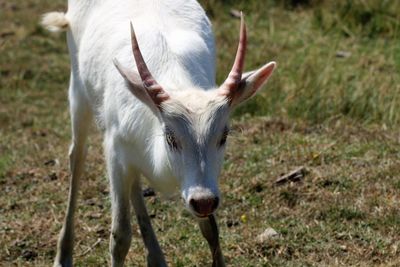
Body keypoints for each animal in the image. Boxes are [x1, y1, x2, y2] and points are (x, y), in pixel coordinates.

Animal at [43, 1, 276, 266]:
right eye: (171, 137)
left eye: (223, 136)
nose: (203, 200)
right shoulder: (114, 151)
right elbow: (120, 236)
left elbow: (211, 230)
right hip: (78, 90)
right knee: (77, 156)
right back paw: (63, 256)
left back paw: (156, 258)